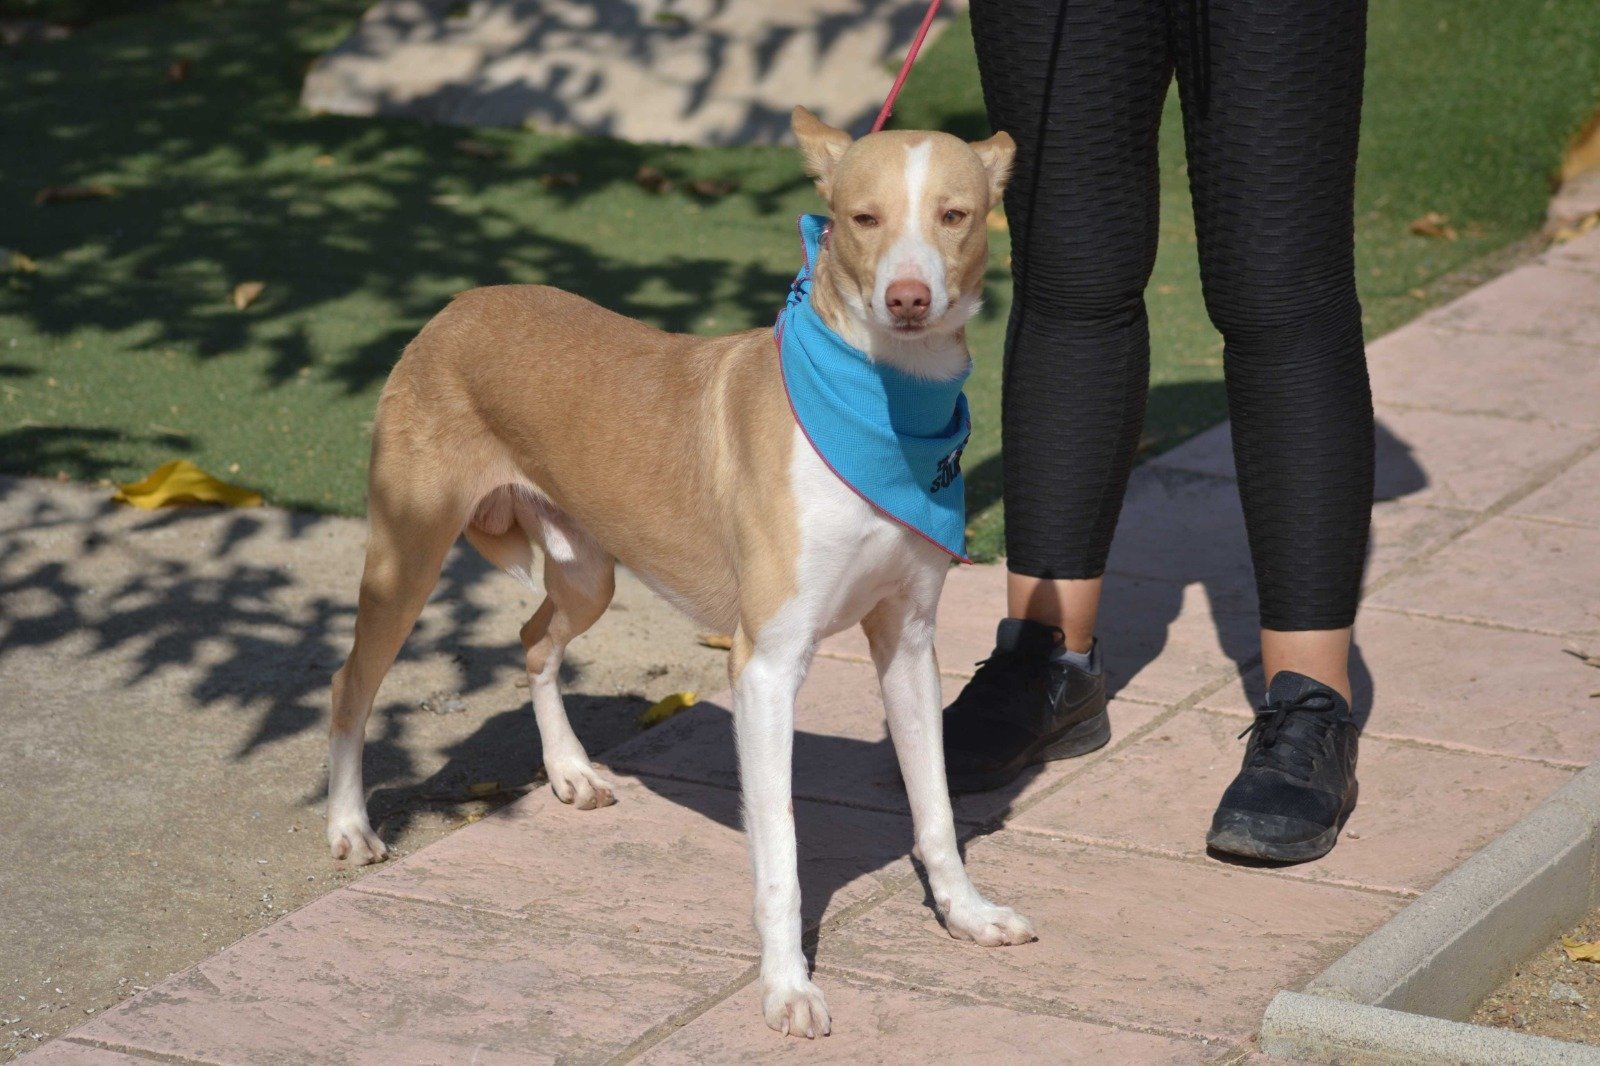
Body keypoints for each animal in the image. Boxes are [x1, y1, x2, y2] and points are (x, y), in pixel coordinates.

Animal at [325, 106, 1029, 1038]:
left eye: (955, 215)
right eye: (861, 218)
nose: (907, 298)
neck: (879, 409)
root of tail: (459, 304)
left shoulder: (909, 643)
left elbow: (938, 808)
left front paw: (964, 913)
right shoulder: (766, 668)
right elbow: (781, 854)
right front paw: (786, 985)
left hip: (587, 573)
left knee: (534, 639)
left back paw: (569, 770)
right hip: (407, 552)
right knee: (352, 683)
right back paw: (348, 825)